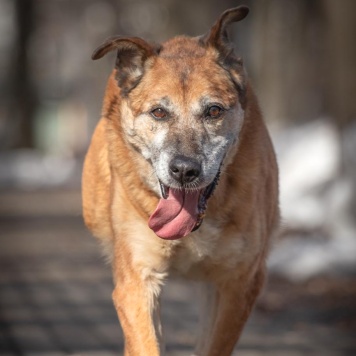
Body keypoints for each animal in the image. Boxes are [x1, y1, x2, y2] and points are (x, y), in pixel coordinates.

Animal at [82, 6, 280, 356]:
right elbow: (145, 343)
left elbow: (215, 344)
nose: (185, 170)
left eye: (214, 110)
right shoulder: (137, 281)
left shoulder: (239, 283)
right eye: (159, 112)